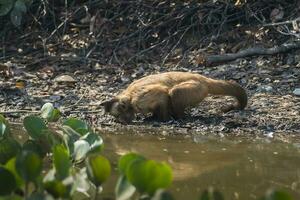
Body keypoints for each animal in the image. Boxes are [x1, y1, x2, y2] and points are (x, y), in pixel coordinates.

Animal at [102, 71, 247, 122]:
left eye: (120, 114)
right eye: (116, 116)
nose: (120, 121)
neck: (129, 95)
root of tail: (202, 78)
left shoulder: (138, 100)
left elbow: (162, 93)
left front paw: (163, 119)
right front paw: (153, 116)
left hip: (197, 88)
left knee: (174, 92)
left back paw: (180, 117)